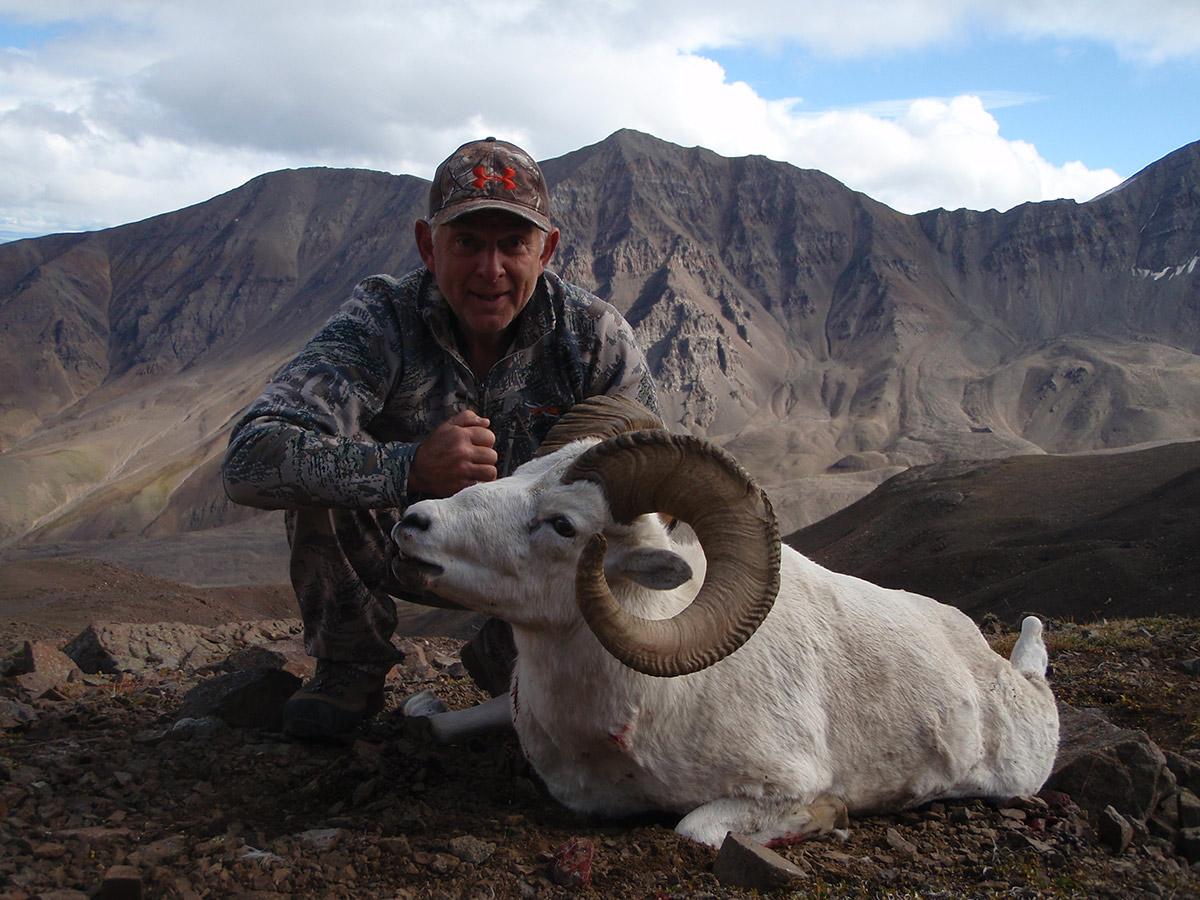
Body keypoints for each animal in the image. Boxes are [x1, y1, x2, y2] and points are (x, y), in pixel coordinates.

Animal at [391, 396, 1060, 848]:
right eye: (514, 473)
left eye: (563, 524)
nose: (413, 522)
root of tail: (984, 657)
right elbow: (430, 725)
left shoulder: (775, 786)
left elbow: (695, 829)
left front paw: (832, 817)